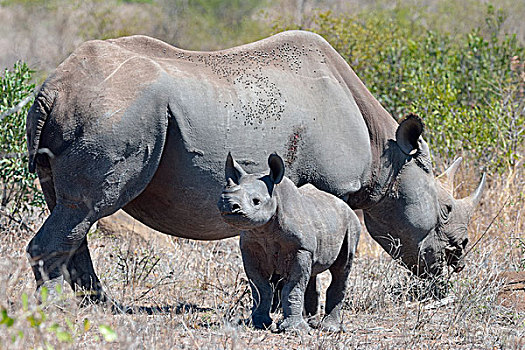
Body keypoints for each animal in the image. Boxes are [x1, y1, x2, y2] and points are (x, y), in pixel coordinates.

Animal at [215, 152, 358, 330]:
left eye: (256, 201)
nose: (226, 204)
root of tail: (345, 206)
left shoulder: (301, 249)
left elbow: (293, 288)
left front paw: (295, 330)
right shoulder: (250, 248)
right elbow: (260, 287)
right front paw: (259, 323)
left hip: (351, 224)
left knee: (341, 269)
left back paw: (329, 328)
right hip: (323, 219)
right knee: (313, 271)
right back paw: (311, 321)